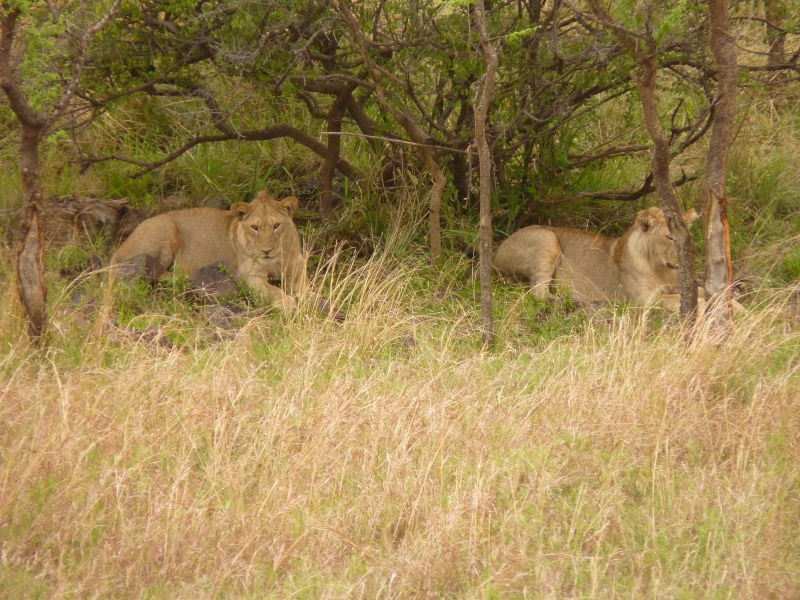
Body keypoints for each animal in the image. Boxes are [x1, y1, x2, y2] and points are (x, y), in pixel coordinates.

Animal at [110, 190, 306, 311]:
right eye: (254, 228)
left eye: (276, 226)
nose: (266, 251)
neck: (277, 259)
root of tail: (119, 249)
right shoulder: (251, 276)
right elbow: (272, 290)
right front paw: (287, 303)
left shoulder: (298, 268)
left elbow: (305, 287)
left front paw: (306, 298)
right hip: (165, 227)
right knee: (158, 273)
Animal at [493, 208, 702, 312]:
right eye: (670, 237)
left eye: (687, 236)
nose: (686, 257)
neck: (661, 269)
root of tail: (496, 254)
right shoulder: (644, 300)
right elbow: (677, 299)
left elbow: (694, 291)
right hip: (547, 238)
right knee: (538, 293)